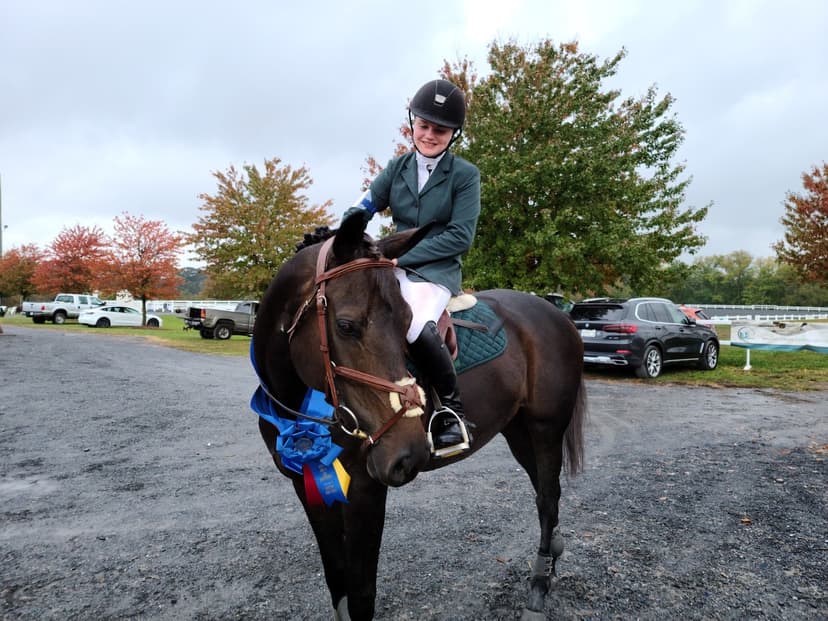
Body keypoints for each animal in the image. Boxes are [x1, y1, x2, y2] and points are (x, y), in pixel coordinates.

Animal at [251, 211, 587, 620]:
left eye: (406, 323)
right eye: (346, 326)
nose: (407, 454)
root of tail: (558, 315)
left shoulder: (365, 489)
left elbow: (361, 593)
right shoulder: (307, 485)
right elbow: (337, 581)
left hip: (546, 429)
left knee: (547, 498)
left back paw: (538, 587)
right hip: (520, 433)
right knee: (544, 492)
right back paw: (552, 560)